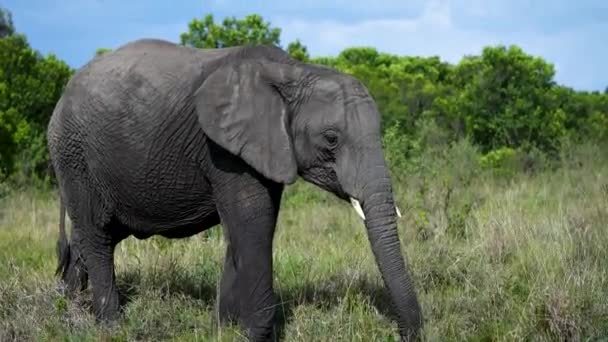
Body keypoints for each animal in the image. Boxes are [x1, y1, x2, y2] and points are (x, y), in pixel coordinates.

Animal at [47, 38, 422, 340]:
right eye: (331, 139)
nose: (403, 333)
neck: (293, 72)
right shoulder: (224, 150)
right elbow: (253, 224)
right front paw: (253, 335)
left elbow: (246, 230)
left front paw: (224, 329)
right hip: (74, 156)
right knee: (96, 236)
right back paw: (109, 326)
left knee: (91, 237)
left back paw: (69, 311)